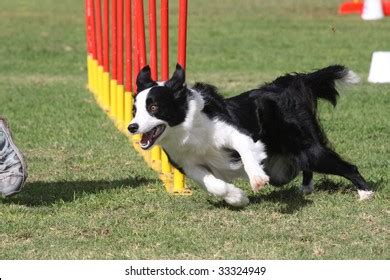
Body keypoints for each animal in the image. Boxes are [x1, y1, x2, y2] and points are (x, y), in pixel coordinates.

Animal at [127, 64, 372, 208]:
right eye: (135, 110)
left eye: (154, 107)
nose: (132, 127)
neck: (185, 127)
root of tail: (292, 83)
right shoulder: (188, 163)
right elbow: (212, 184)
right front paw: (237, 198)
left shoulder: (234, 133)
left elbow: (246, 151)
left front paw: (256, 179)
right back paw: (306, 187)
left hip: (308, 148)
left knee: (347, 166)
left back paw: (365, 193)